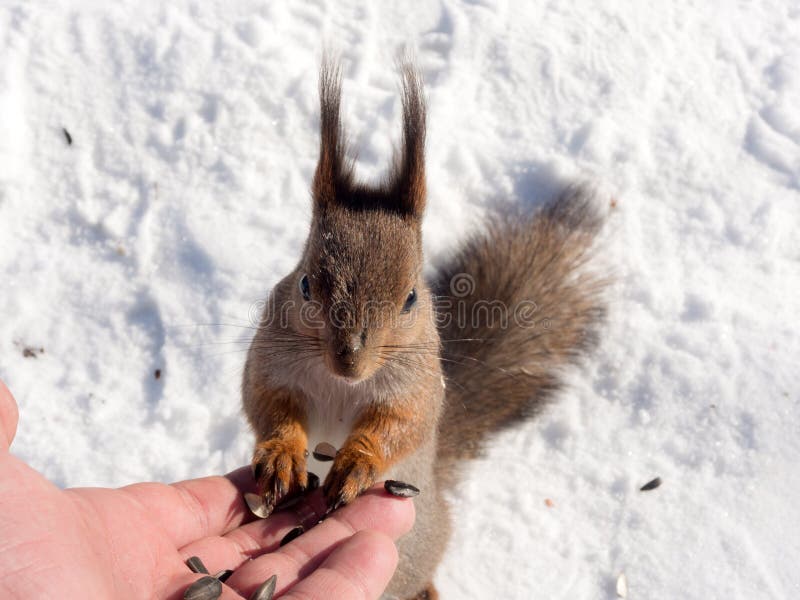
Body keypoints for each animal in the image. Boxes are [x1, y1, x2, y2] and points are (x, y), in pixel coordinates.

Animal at [242, 58, 607, 600]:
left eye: (412, 298)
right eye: (305, 284)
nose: (349, 360)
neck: (338, 385)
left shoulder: (415, 384)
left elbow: (404, 423)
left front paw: (360, 460)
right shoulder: (271, 361)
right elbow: (266, 403)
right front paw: (284, 453)